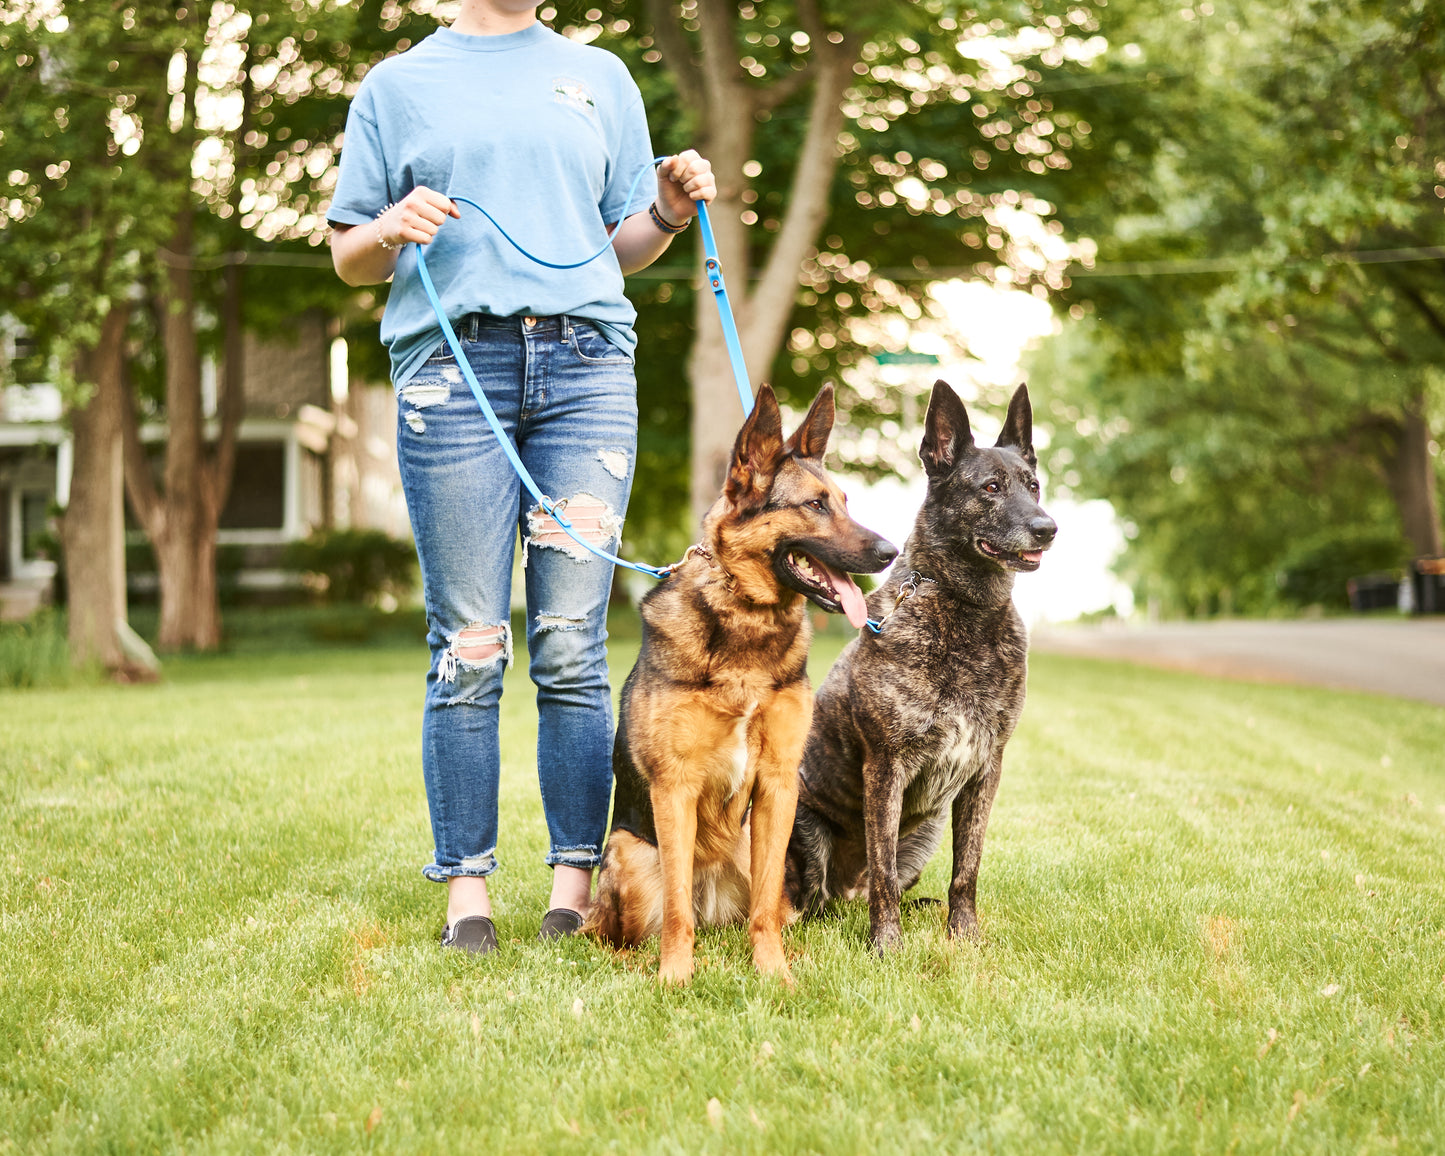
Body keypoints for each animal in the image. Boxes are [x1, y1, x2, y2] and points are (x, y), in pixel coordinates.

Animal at [786, 384, 1057, 953]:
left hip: (928, 829)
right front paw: (887, 945)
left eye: (1034, 486)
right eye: (991, 487)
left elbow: (966, 869)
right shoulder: (886, 766)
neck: (965, 607)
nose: (1048, 528)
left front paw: (964, 936)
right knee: (821, 897)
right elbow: (883, 870)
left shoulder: (986, 770)